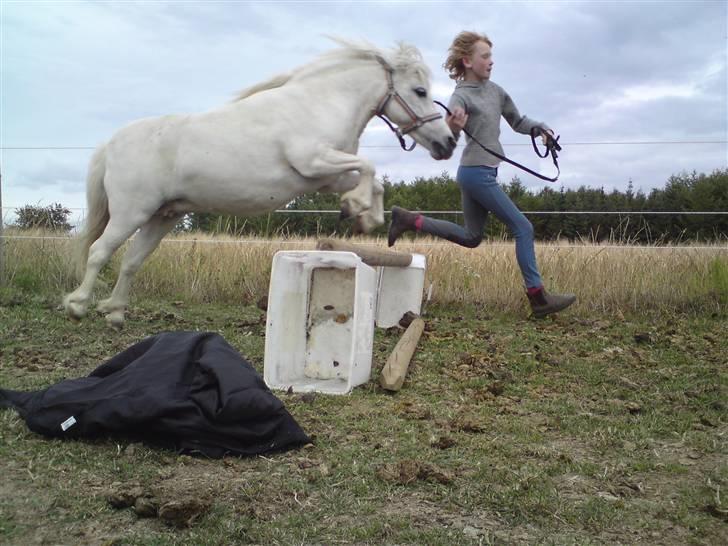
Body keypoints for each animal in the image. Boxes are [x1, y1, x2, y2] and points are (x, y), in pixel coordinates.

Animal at [65, 40, 458, 328]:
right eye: (419, 90)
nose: (448, 143)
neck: (321, 103)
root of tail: (111, 143)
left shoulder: (326, 176)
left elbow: (370, 179)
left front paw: (365, 215)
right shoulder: (313, 160)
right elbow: (369, 167)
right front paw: (359, 210)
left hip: (163, 216)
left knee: (132, 261)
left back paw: (115, 312)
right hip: (131, 213)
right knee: (100, 251)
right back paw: (79, 305)